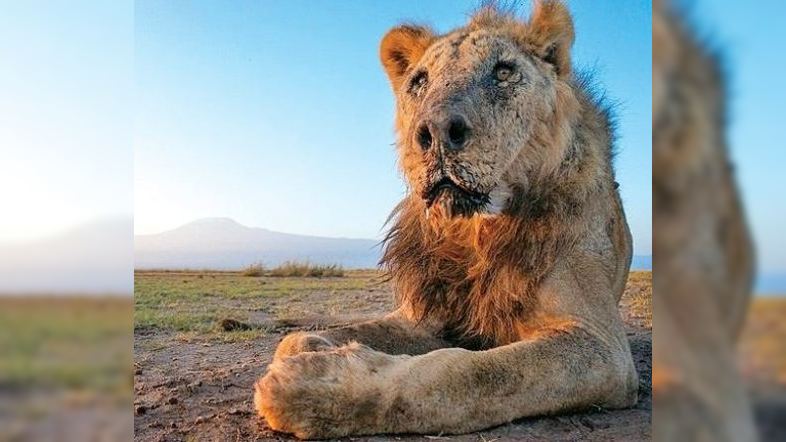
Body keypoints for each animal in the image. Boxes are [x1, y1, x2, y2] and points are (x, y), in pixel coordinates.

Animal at [254, 1, 639, 438]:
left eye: (503, 71)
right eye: (420, 82)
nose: (436, 131)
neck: (473, 231)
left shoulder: (601, 345)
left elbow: (465, 373)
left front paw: (314, 385)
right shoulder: (427, 315)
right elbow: (319, 336)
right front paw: (314, 346)